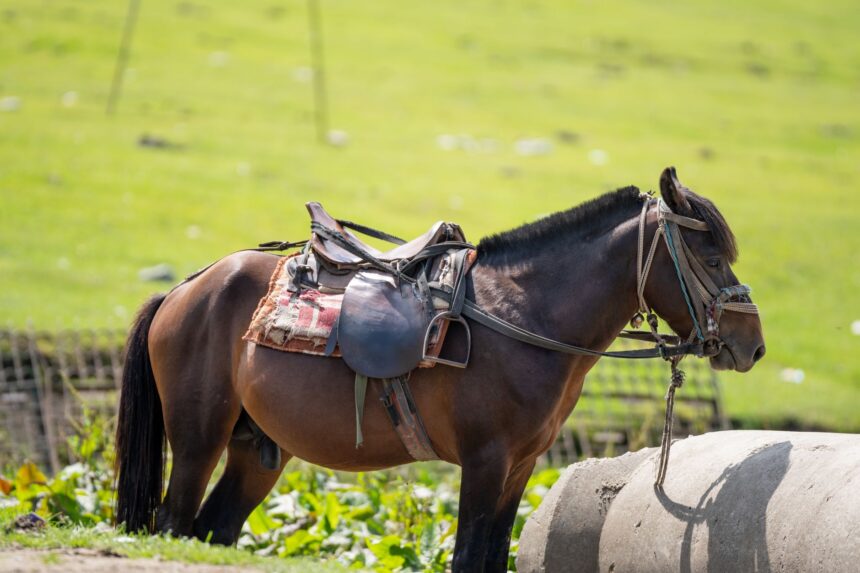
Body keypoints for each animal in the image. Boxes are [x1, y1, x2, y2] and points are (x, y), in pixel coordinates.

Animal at [114, 168, 765, 572]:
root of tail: (189, 287)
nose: (752, 345)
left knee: (211, 528)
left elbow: (493, 555)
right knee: (173, 521)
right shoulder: (484, 461)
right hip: (197, 438)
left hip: (257, 451)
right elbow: (468, 557)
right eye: (711, 257)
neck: (521, 317)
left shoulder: (521, 466)